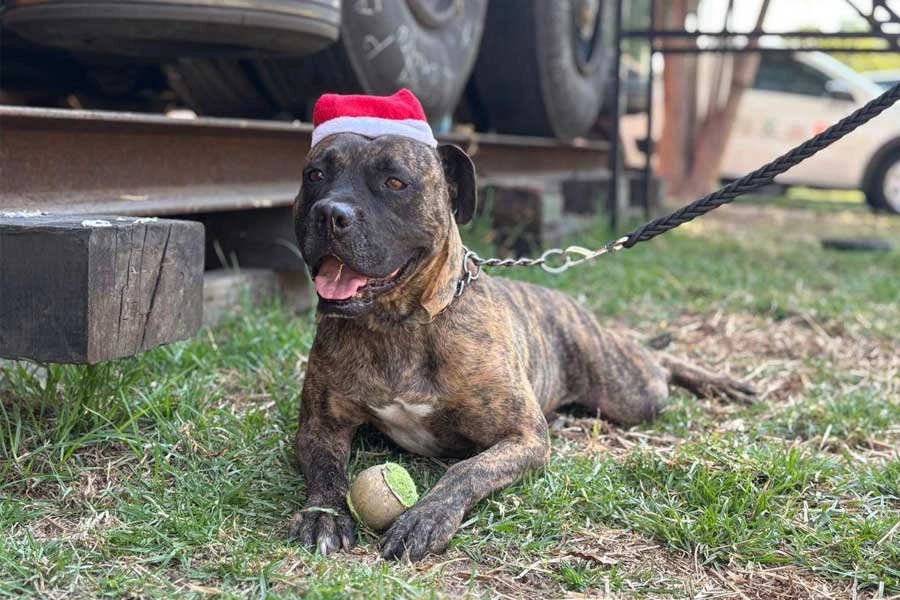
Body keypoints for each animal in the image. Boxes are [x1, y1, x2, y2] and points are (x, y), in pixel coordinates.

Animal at [286, 134, 752, 560]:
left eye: (395, 182)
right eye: (314, 175)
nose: (329, 212)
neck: (397, 325)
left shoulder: (524, 436)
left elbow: (466, 470)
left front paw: (426, 516)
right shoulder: (319, 428)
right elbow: (328, 473)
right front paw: (324, 515)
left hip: (632, 394)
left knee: (658, 362)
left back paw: (720, 383)